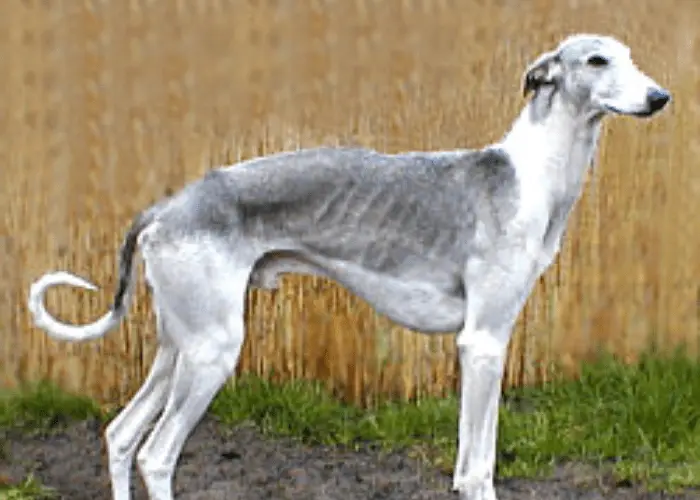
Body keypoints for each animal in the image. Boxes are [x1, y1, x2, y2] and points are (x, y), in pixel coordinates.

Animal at [28, 33, 672, 498]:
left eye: (631, 57)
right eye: (596, 59)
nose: (660, 97)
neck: (529, 175)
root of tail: (167, 206)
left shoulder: (493, 341)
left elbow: (478, 461)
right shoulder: (481, 343)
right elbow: (475, 473)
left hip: (177, 344)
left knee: (119, 435)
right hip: (211, 351)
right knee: (156, 454)